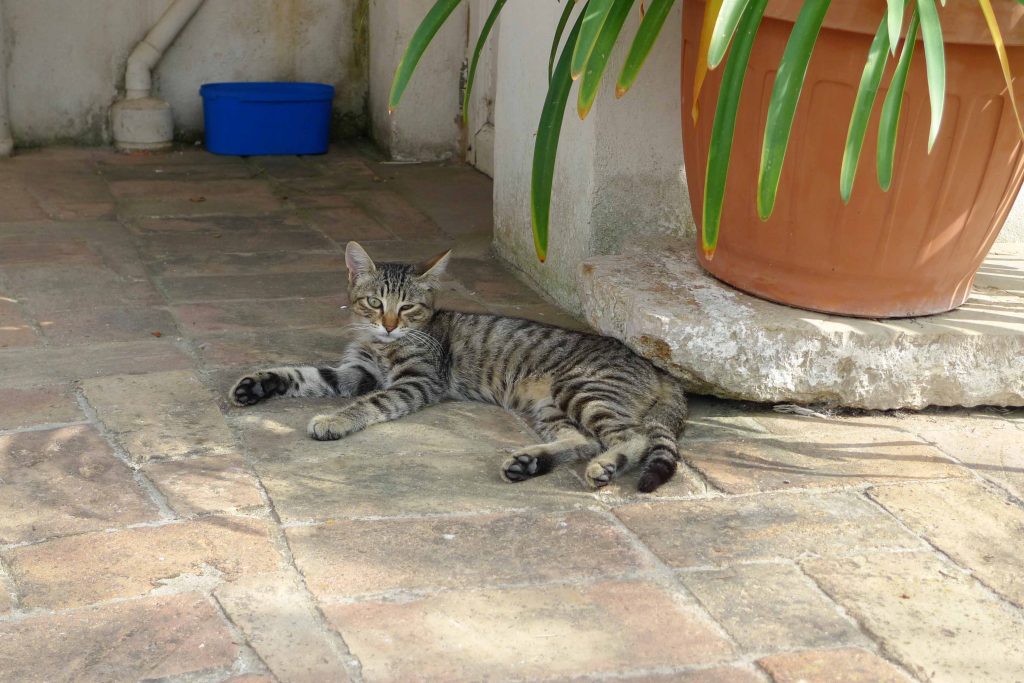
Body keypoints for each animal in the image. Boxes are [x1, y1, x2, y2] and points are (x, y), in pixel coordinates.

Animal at [232, 240, 688, 491]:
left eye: (408, 307)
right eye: (375, 302)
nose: (389, 325)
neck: (382, 345)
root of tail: (654, 366)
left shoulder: (417, 382)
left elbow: (370, 403)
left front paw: (334, 421)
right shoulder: (356, 373)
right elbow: (304, 373)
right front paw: (258, 384)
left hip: (581, 390)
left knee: (631, 438)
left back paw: (604, 467)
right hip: (550, 406)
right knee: (583, 439)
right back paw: (528, 464)